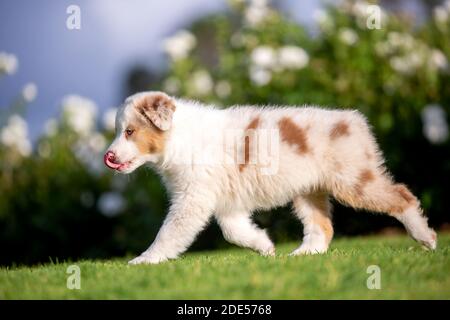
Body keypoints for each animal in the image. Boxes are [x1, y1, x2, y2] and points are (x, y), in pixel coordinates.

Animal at [104, 90, 436, 264]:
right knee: (322, 226)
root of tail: (354, 119)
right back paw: (303, 253)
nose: (109, 156)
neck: (177, 138)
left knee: (403, 196)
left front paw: (145, 260)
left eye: (129, 131)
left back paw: (426, 238)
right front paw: (265, 246)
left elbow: (169, 233)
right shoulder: (225, 201)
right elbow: (233, 231)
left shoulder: (192, 198)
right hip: (308, 190)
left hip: (353, 180)